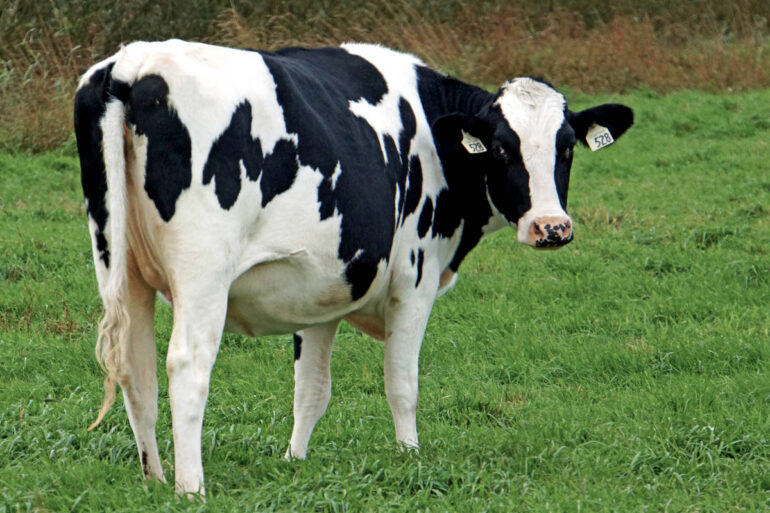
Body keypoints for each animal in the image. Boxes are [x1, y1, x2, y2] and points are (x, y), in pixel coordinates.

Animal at [74, 39, 633, 495]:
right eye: (499, 147)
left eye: (566, 148)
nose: (551, 227)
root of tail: (134, 62)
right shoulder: (415, 279)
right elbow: (402, 383)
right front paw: (410, 458)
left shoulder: (320, 288)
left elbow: (311, 390)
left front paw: (294, 461)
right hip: (202, 271)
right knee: (187, 366)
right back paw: (191, 488)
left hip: (118, 263)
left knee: (136, 367)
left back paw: (154, 478)